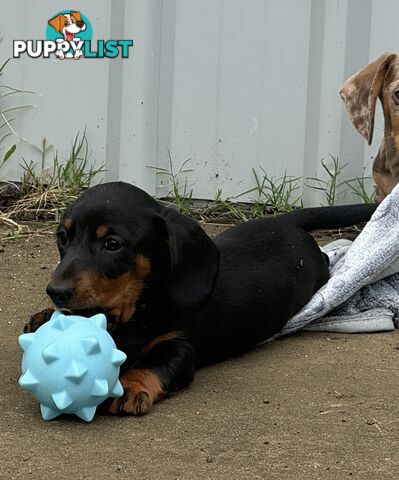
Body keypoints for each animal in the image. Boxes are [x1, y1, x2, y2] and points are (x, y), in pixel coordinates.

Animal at [25, 182, 378, 414]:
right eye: (63, 238)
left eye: (112, 244)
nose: (55, 292)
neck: (137, 312)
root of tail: (287, 220)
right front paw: (45, 317)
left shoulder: (180, 347)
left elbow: (156, 363)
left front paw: (131, 385)